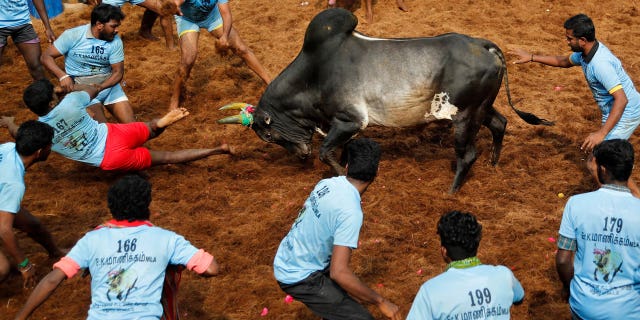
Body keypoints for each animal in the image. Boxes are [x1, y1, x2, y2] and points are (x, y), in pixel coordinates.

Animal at [219, 8, 552, 192]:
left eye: (268, 134)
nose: (301, 154)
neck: (314, 72)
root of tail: (484, 45)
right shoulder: (344, 127)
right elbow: (341, 152)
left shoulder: (350, 120)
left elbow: (327, 153)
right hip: (481, 108)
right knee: (500, 123)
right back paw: (495, 164)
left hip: (463, 115)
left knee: (468, 154)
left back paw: (452, 191)